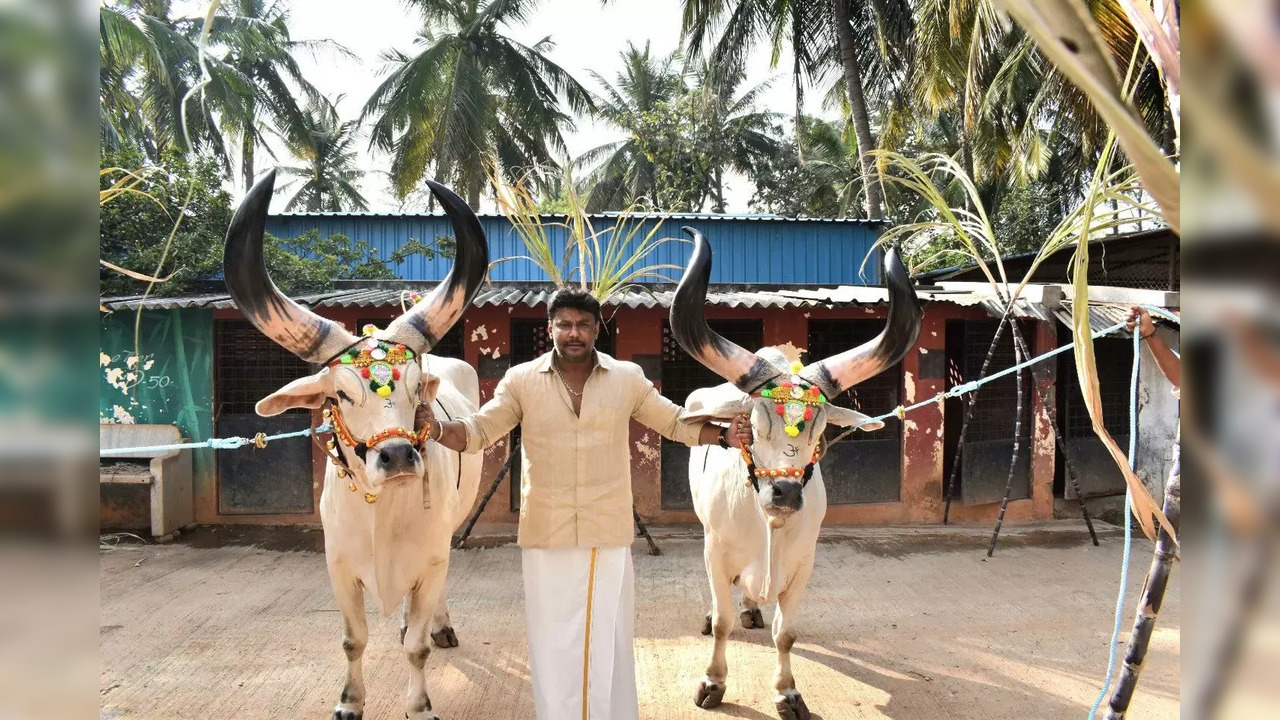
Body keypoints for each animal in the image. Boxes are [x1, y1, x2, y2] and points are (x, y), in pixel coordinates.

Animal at [222, 169, 486, 717]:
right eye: (341, 394)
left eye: (415, 387)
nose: (399, 456)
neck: (382, 513)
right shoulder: (339, 567)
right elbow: (353, 641)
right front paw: (349, 702)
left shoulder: (431, 561)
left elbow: (417, 648)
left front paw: (420, 704)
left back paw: (440, 624)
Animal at [670, 228, 921, 717]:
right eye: (752, 423)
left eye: (821, 430)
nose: (784, 494)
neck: (769, 526)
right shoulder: (715, 550)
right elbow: (724, 623)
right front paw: (712, 683)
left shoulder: (804, 563)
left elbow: (786, 633)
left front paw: (788, 693)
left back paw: (752, 606)